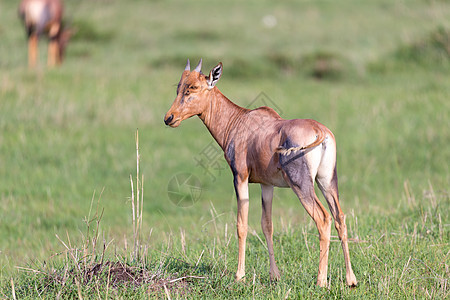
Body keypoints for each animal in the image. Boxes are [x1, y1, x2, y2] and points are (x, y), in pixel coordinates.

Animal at [163, 59, 356, 288]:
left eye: (193, 87)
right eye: (178, 88)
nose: (169, 118)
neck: (240, 120)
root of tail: (321, 132)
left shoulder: (240, 177)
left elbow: (242, 224)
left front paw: (239, 276)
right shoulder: (267, 184)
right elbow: (267, 225)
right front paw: (275, 275)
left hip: (301, 184)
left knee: (323, 218)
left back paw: (321, 281)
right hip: (327, 180)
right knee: (339, 217)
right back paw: (351, 279)